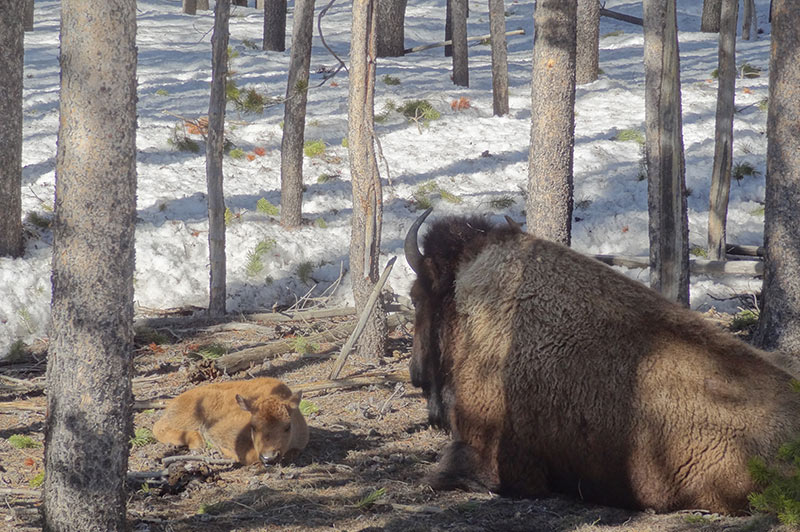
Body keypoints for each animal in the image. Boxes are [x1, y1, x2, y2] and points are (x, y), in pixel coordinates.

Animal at [153, 378, 310, 466]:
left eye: (288, 426)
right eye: (253, 427)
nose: (269, 457)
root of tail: (175, 401)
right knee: (159, 427)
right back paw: (197, 444)